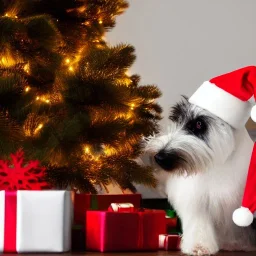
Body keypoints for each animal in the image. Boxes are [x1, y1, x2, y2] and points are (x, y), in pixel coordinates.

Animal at [145, 96, 256, 256]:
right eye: (177, 119)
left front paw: (238, 243)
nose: (159, 157)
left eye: (198, 124)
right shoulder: (197, 201)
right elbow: (199, 225)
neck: (218, 164)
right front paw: (199, 247)